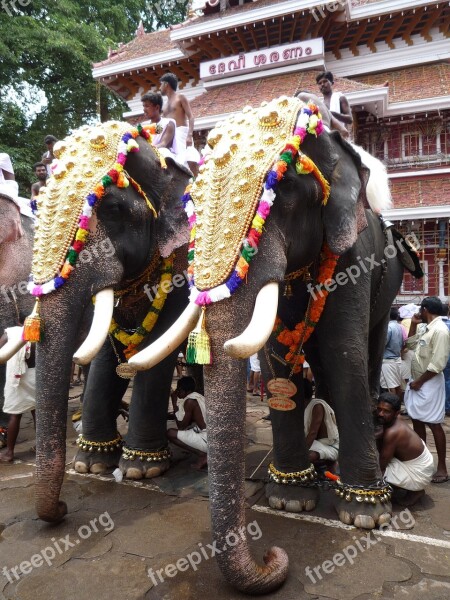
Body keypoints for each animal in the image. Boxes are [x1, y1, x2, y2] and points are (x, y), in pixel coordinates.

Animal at [0, 120, 191, 520]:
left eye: (114, 209)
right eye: (39, 209)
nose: (61, 508)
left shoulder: (183, 265)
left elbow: (157, 348)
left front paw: (140, 469)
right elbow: (103, 349)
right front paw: (92, 463)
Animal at [127, 96, 422, 592]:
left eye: (280, 192)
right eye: (192, 204)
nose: (272, 555)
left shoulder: (355, 252)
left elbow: (343, 352)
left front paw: (365, 514)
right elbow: (277, 358)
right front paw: (290, 498)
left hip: (392, 280)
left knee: (367, 345)